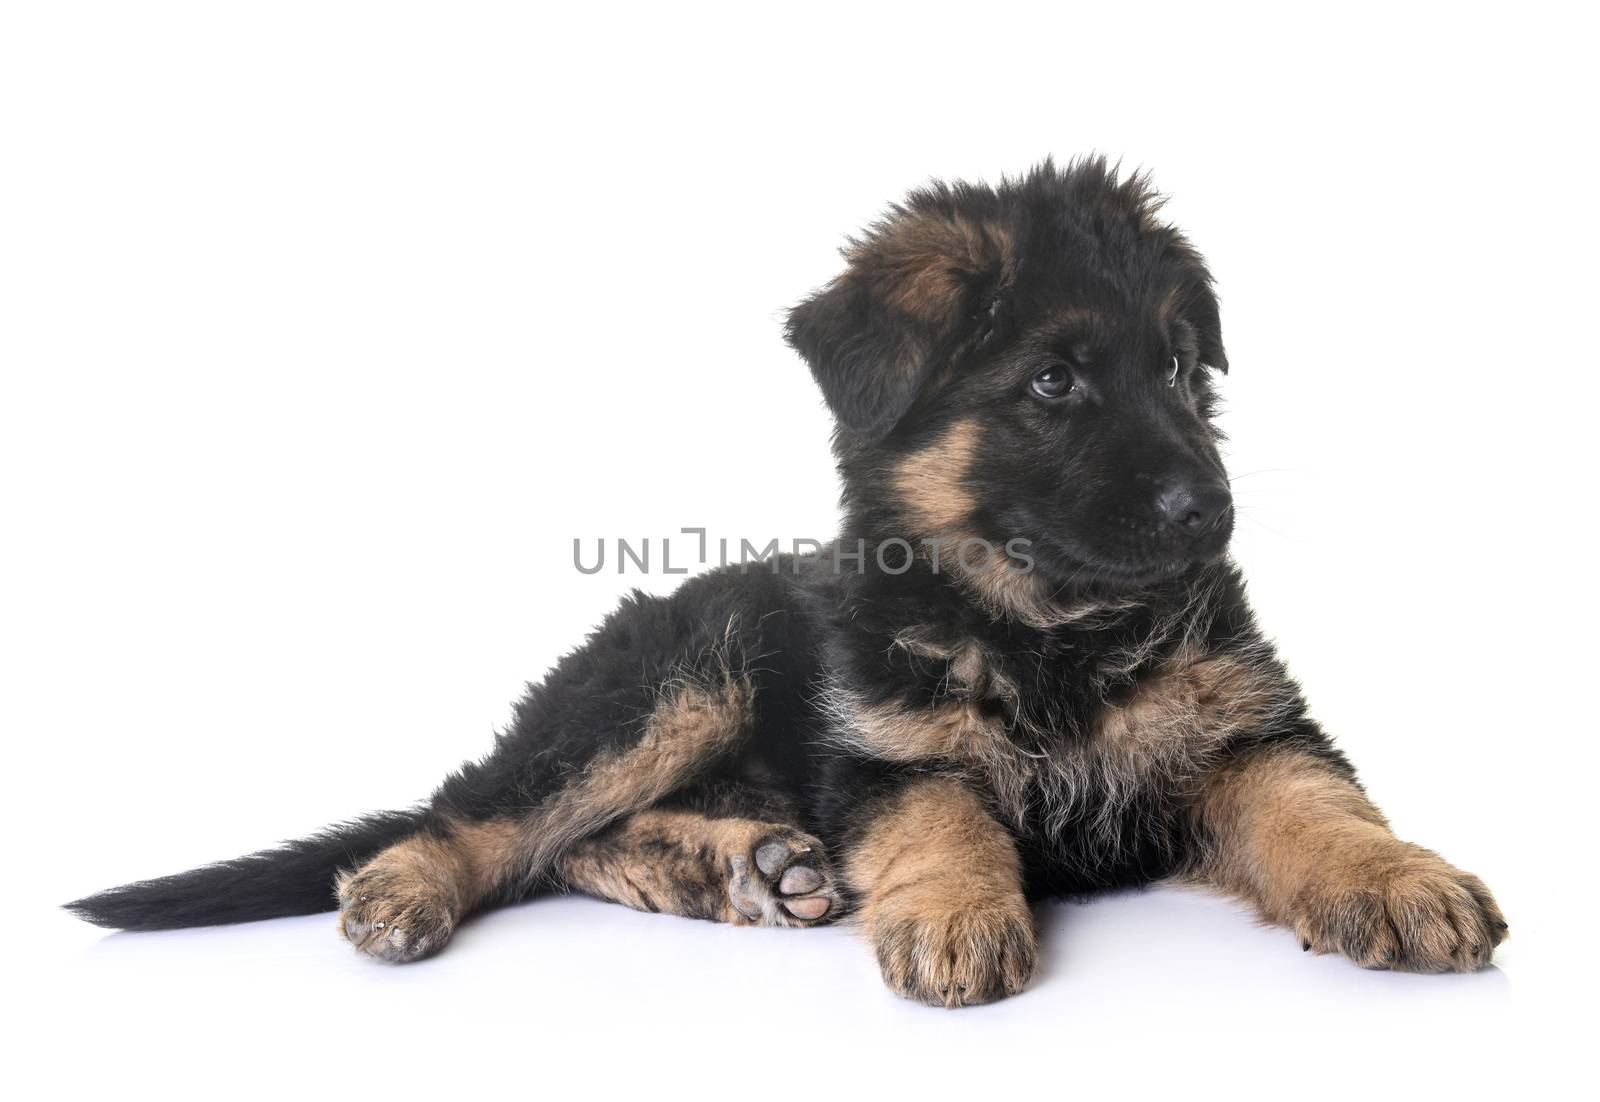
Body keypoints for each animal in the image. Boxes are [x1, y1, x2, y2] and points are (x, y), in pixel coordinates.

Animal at [68, 156, 1504, 1004]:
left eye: (1176, 368)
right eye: (1053, 381)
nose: (1208, 513)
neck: (1043, 631)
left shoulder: (1247, 733)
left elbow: (1318, 803)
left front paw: (1400, 879)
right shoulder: (880, 750)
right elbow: (942, 812)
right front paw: (954, 907)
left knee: (566, 847)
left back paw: (745, 868)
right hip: (672, 684)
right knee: (498, 814)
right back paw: (411, 883)